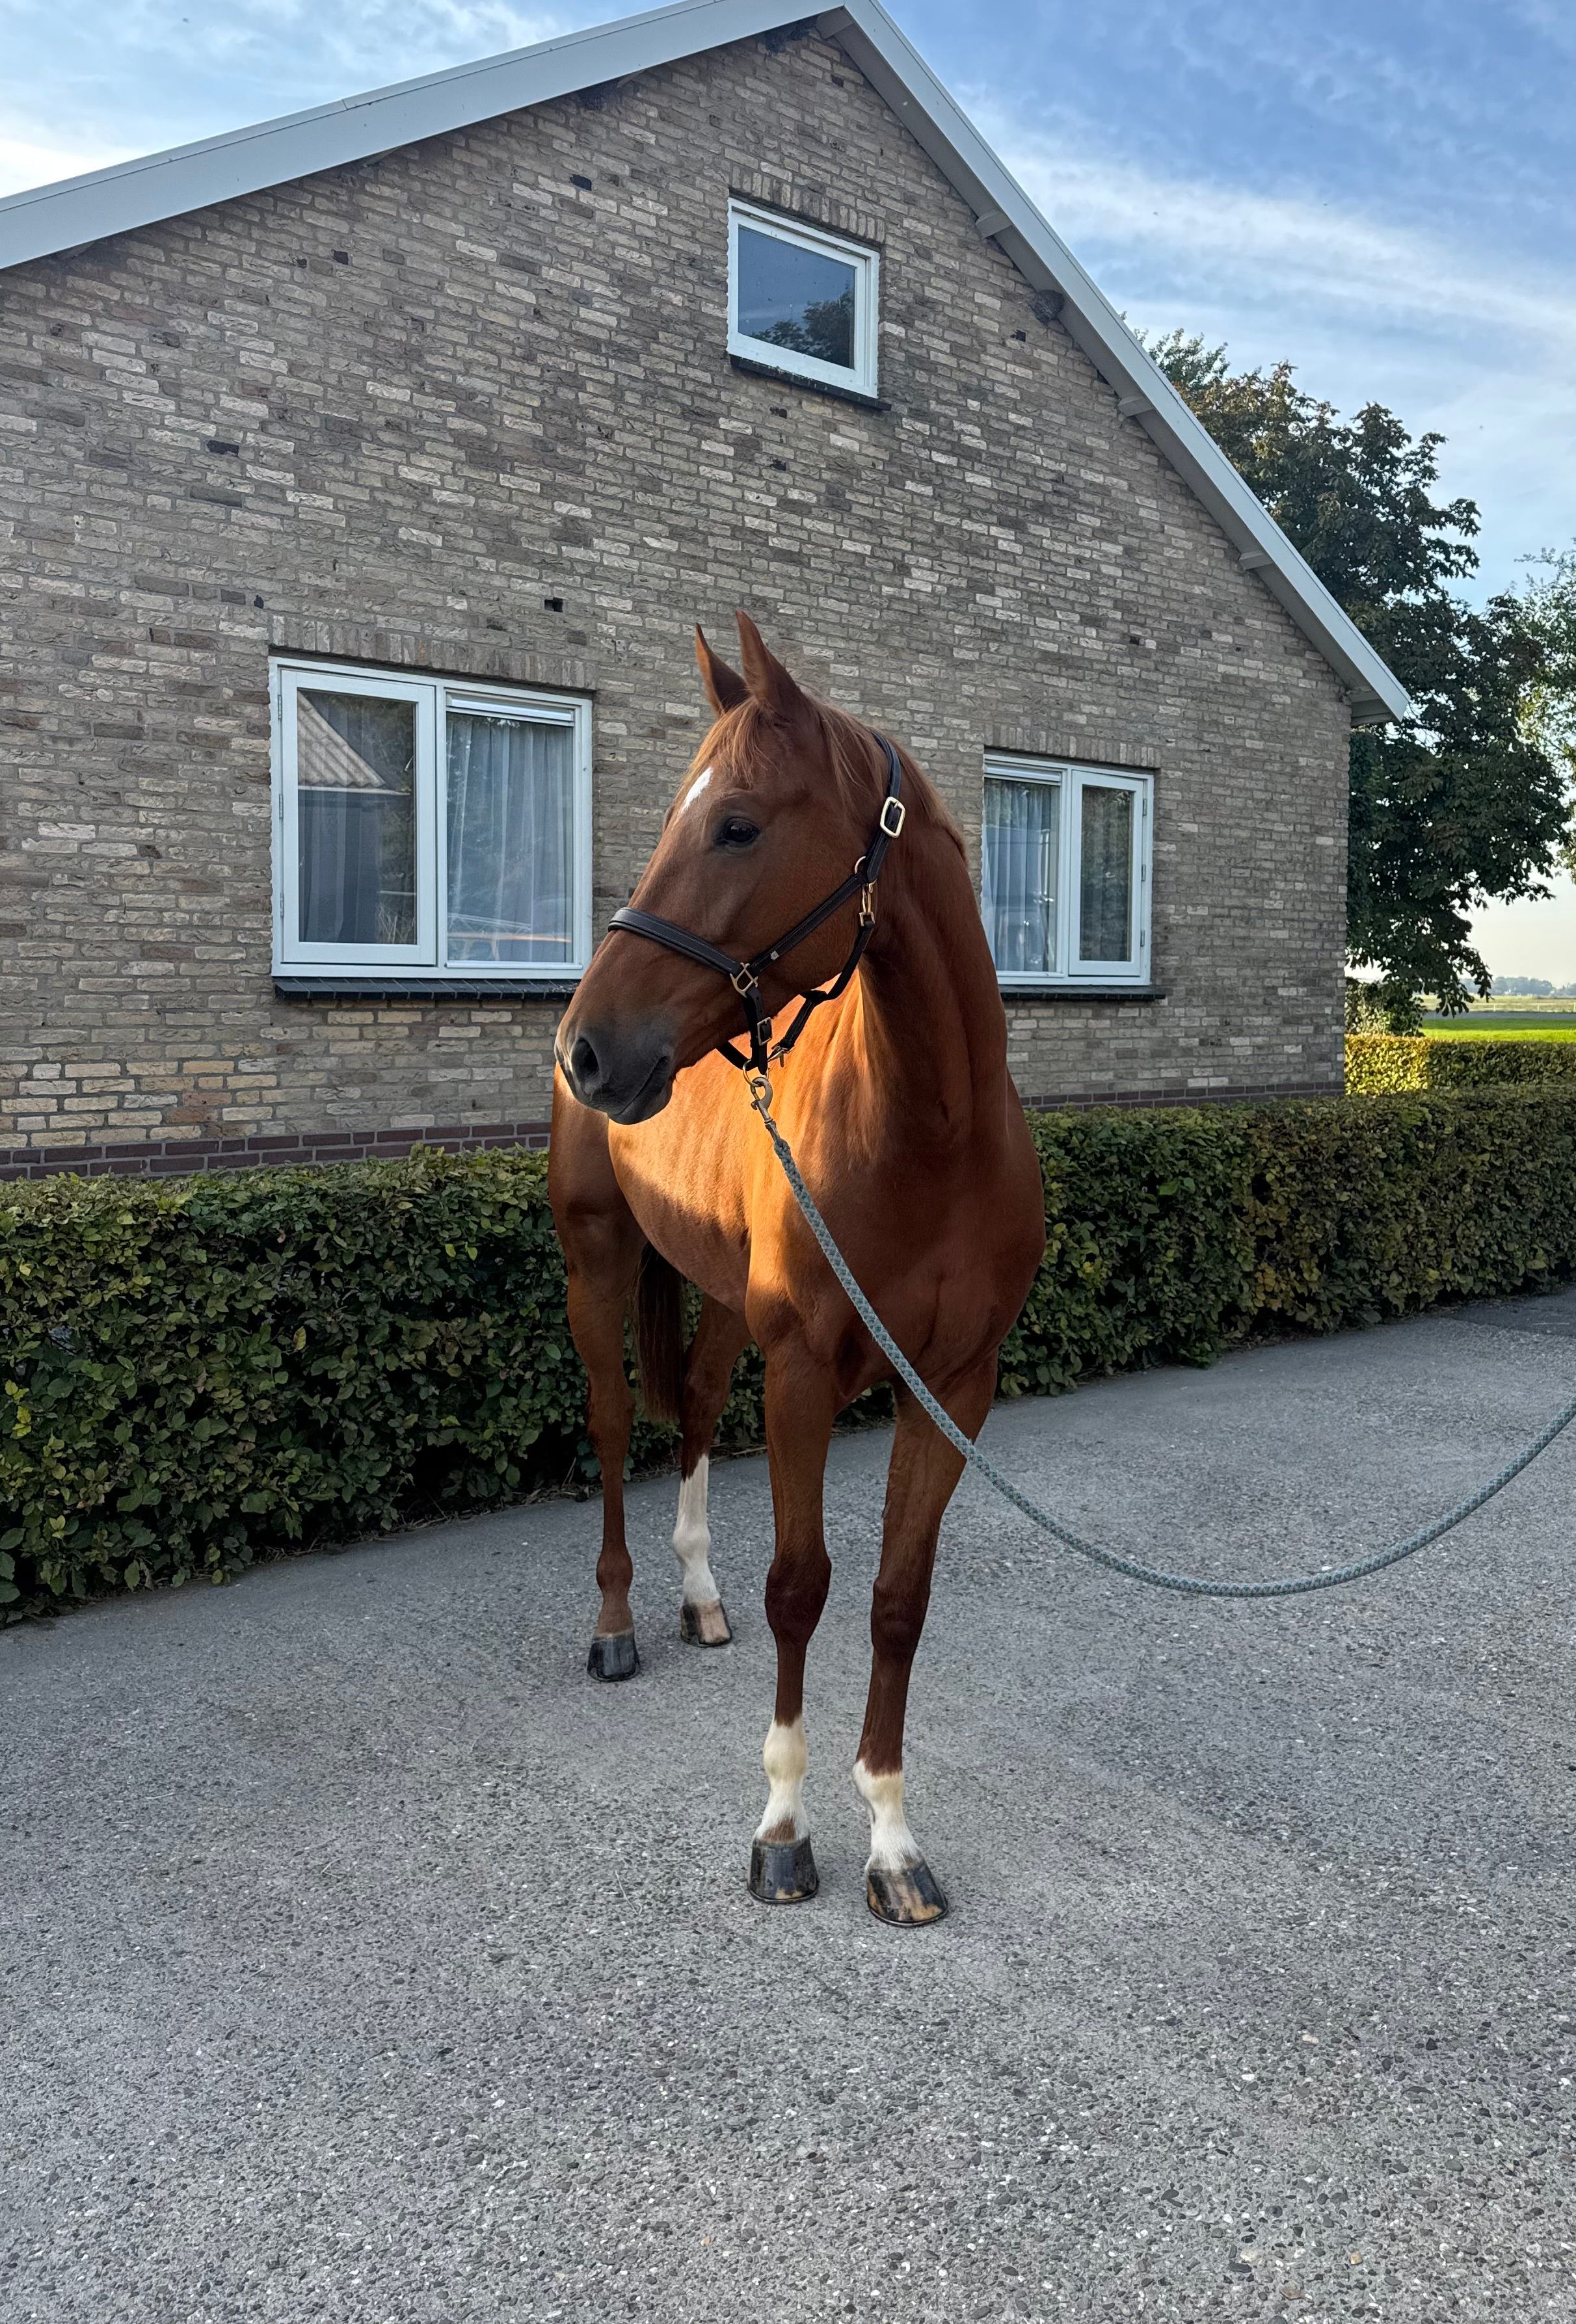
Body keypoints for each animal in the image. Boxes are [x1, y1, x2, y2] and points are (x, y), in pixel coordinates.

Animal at [549, 613, 1045, 1924]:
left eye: (736, 824)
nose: (588, 1047)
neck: (926, 1134)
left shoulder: (951, 1389)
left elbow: (892, 1600)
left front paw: (891, 1840)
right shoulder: (806, 1375)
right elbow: (799, 1585)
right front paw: (781, 1828)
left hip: (727, 1307)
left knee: (690, 1413)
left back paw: (694, 1599)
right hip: (594, 1258)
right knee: (613, 1423)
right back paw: (616, 1622)